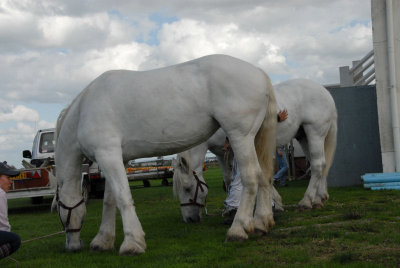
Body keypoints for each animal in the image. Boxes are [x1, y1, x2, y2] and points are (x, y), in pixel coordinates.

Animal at [54, 54, 278, 255]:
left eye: (60, 212)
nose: (72, 246)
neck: (84, 111)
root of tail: (258, 72)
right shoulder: (117, 159)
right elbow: (110, 200)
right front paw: (103, 240)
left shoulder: (107, 155)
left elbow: (122, 197)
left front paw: (132, 243)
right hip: (255, 139)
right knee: (266, 177)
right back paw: (261, 222)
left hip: (240, 136)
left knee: (251, 178)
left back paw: (238, 229)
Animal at [174, 77, 338, 222]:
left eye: (187, 188)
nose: (189, 219)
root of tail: (325, 93)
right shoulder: (222, 153)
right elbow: (229, 179)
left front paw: (274, 203)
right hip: (304, 136)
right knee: (318, 164)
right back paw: (319, 198)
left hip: (315, 133)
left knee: (318, 164)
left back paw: (306, 202)